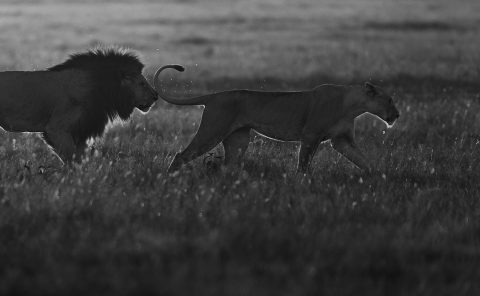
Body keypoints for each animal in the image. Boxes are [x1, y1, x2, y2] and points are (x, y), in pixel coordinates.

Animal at [0, 48, 158, 164]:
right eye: (142, 83)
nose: (156, 96)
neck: (101, 89)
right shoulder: (56, 129)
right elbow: (72, 159)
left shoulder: (81, 131)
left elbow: (80, 158)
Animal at [156, 64, 400, 171]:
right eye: (389, 100)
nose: (397, 115)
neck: (352, 106)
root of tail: (215, 95)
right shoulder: (311, 135)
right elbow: (303, 164)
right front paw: (302, 185)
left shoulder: (342, 140)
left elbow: (364, 161)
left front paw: (380, 179)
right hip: (212, 130)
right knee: (181, 155)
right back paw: (171, 180)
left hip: (238, 139)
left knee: (228, 166)